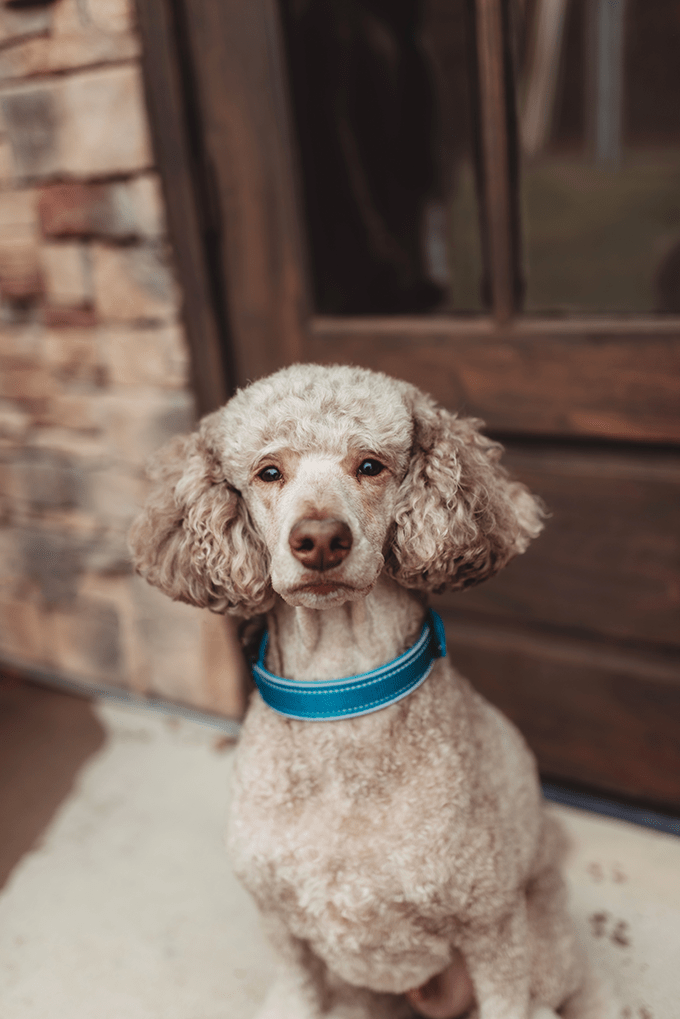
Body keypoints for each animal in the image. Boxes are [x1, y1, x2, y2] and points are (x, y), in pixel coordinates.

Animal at [128, 362, 595, 1014]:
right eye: (268, 472)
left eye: (371, 465)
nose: (321, 538)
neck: (341, 697)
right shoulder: (279, 922)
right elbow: (297, 990)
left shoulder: (491, 927)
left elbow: (506, 998)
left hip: (545, 950)